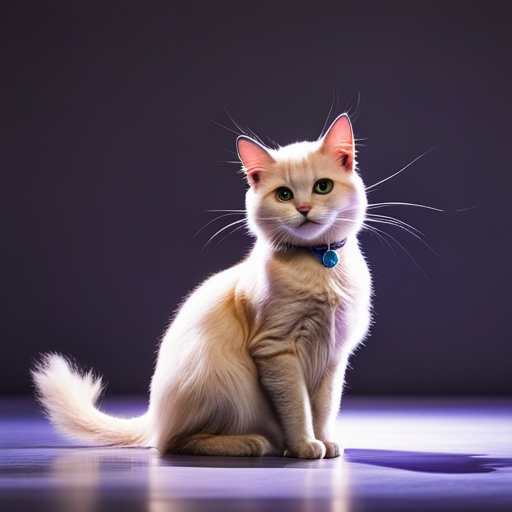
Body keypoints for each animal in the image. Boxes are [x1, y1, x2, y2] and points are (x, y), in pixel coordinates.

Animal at [32, 113, 370, 460]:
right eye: (284, 195)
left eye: (322, 187)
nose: (303, 209)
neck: (318, 263)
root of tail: (153, 415)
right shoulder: (278, 350)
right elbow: (297, 408)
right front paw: (303, 446)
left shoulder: (333, 357)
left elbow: (324, 409)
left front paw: (325, 442)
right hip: (231, 382)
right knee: (172, 443)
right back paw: (252, 443)